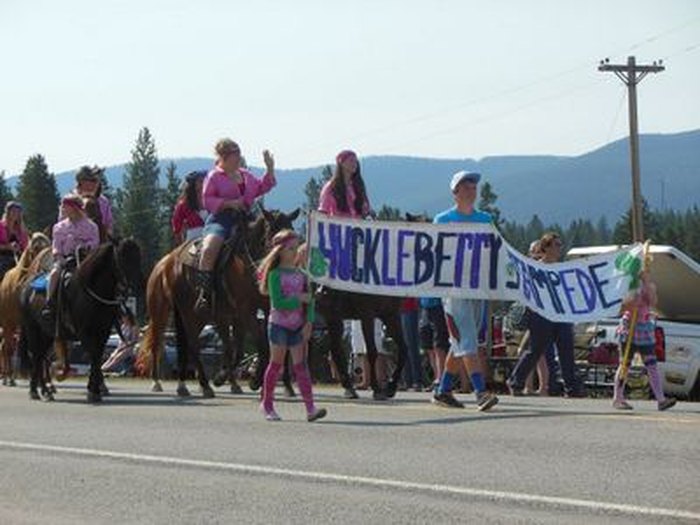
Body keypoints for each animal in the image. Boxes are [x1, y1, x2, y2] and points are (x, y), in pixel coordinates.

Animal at [0, 233, 51, 384]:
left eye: (48, 245)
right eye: (35, 248)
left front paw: (44, 380)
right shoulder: (8, 323)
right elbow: (10, 349)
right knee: (5, 347)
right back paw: (7, 376)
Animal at [19, 237, 142, 402]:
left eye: (138, 256)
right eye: (121, 257)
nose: (137, 284)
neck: (89, 292)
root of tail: (26, 286)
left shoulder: (103, 332)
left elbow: (97, 358)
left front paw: (95, 390)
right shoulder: (84, 333)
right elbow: (94, 356)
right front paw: (93, 391)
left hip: (47, 334)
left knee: (41, 357)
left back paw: (45, 391)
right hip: (33, 330)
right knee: (37, 356)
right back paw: (36, 390)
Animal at [137, 207, 298, 396]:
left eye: (292, 233)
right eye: (274, 234)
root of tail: (166, 262)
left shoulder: (261, 310)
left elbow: (242, 349)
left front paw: (225, 377)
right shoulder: (246, 311)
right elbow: (261, 345)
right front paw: (253, 381)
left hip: (199, 317)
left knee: (192, 345)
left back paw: (196, 385)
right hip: (166, 312)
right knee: (166, 343)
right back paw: (169, 383)